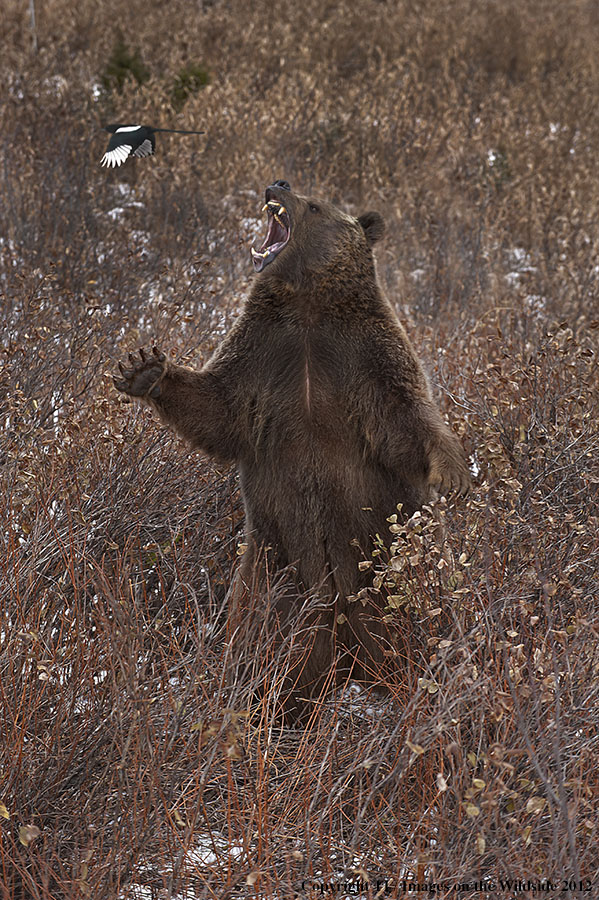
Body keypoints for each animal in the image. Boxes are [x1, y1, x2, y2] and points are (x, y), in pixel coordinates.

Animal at [112, 179, 468, 720]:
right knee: (258, 655)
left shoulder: (365, 358)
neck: (308, 306)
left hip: (392, 572)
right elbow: (218, 409)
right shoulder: (263, 356)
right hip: (275, 576)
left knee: (424, 637)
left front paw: (452, 470)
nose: (276, 184)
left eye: (315, 204)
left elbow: (406, 419)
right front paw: (145, 369)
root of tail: (346, 657)